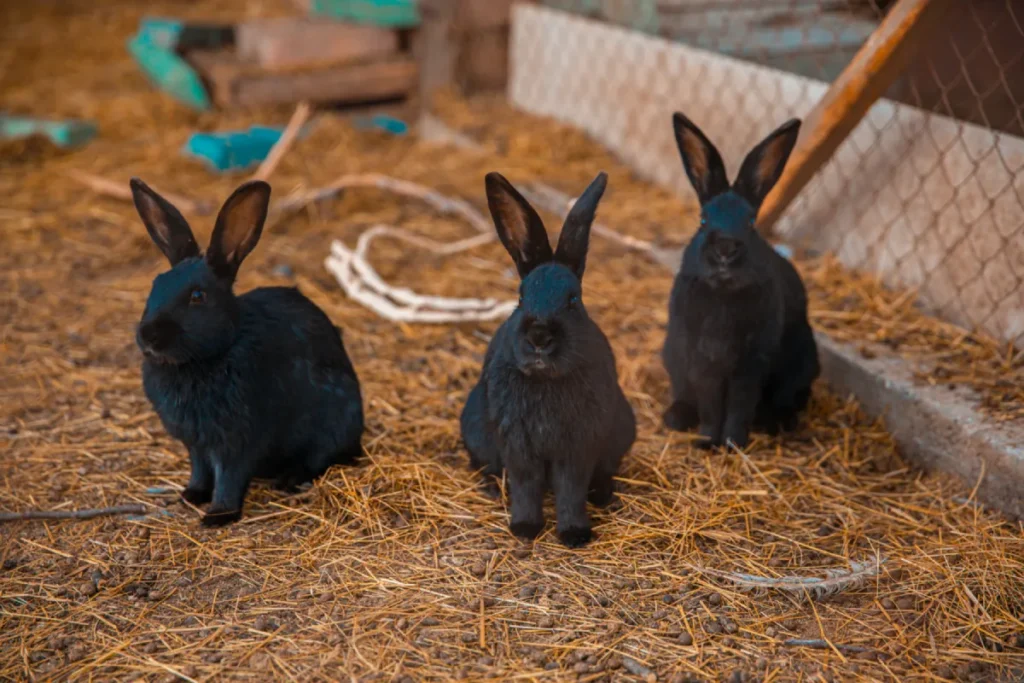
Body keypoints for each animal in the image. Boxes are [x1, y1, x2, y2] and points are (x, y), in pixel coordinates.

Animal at [130, 179, 364, 528]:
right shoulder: (196, 443)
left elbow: (229, 477)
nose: (148, 336)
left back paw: (288, 480)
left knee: (320, 459)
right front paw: (191, 496)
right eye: (155, 285)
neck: (207, 358)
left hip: (334, 421)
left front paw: (218, 515)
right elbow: (200, 471)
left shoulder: (237, 440)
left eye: (197, 296)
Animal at [460, 172, 634, 548]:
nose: (539, 338)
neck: (545, 381)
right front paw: (525, 529)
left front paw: (574, 534)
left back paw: (603, 495)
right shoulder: (518, 445)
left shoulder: (578, 445)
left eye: (573, 300)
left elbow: (571, 489)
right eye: (521, 298)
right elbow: (526, 486)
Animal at [659, 113, 819, 448]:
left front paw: (733, 443)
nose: (725, 249)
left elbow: (739, 404)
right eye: (703, 220)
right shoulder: (703, 360)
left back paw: (776, 422)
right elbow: (710, 403)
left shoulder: (751, 363)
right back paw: (676, 417)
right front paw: (708, 441)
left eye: (750, 222)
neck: (724, 295)